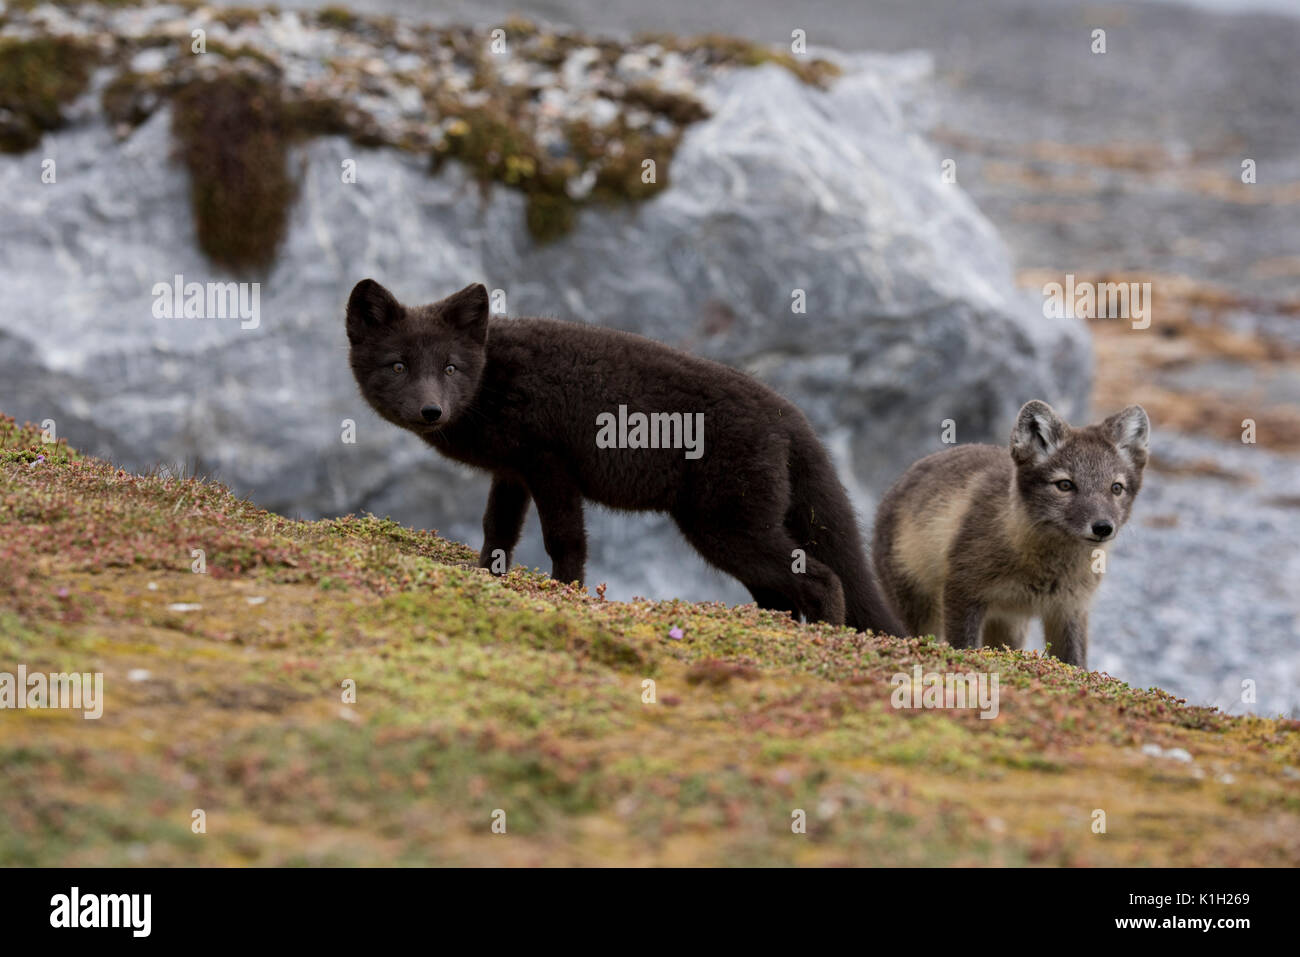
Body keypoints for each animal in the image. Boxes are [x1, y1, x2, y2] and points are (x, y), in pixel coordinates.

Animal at [345, 279, 903, 636]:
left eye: (451, 368)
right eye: (398, 366)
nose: (431, 410)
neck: (492, 379)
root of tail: (787, 412)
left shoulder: (550, 464)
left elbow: (564, 542)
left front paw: (566, 596)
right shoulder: (512, 473)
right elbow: (497, 534)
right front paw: (490, 579)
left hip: (725, 528)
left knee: (822, 580)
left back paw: (825, 639)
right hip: (730, 534)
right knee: (782, 595)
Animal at [871, 400, 1150, 668]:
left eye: (1116, 488)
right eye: (1065, 485)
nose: (1103, 527)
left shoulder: (1070, 609)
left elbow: (1076, 664)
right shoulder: (961, 591)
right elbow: (963, 647)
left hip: (1010, 627)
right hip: (920, 609)